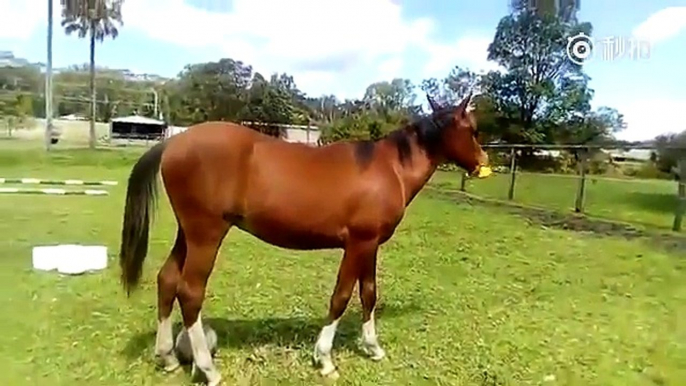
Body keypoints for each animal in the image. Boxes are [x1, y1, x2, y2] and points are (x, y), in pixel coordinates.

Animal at [121, 92, 492, 382]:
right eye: (473, 130)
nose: (483, 163)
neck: (388, 168)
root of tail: (173, 142)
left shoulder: (370, 245)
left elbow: (369, 294)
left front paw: (372, 348)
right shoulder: (357, 244)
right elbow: (341, 297)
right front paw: (325, 359)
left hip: (188, 234)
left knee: (167, 280)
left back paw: (168, 357)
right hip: (206, 235)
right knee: (190, 292)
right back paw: (208, 369)